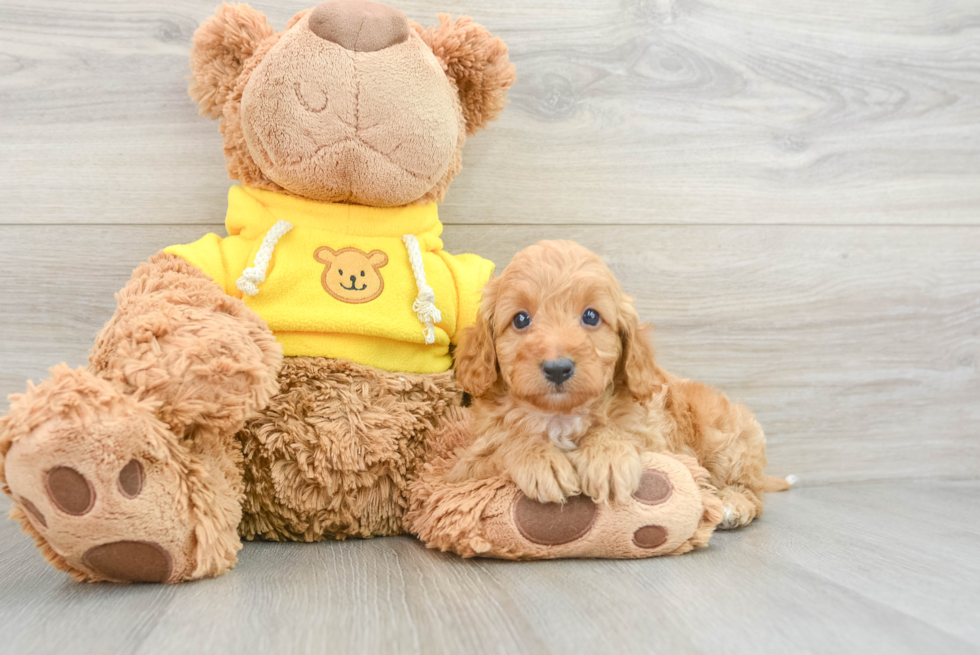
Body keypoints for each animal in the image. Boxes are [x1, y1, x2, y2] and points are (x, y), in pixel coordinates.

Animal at [448, 240, 792, 528]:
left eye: (591, 316)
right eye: (520, 319)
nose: (558, 369)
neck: (561, 414)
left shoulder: (657, 439)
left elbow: (620, 432)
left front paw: (607, 456)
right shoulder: (465, 466)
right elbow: (508, 443)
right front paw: (540, 460)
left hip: (724, 440)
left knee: (753, 492)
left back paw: (733, 504)